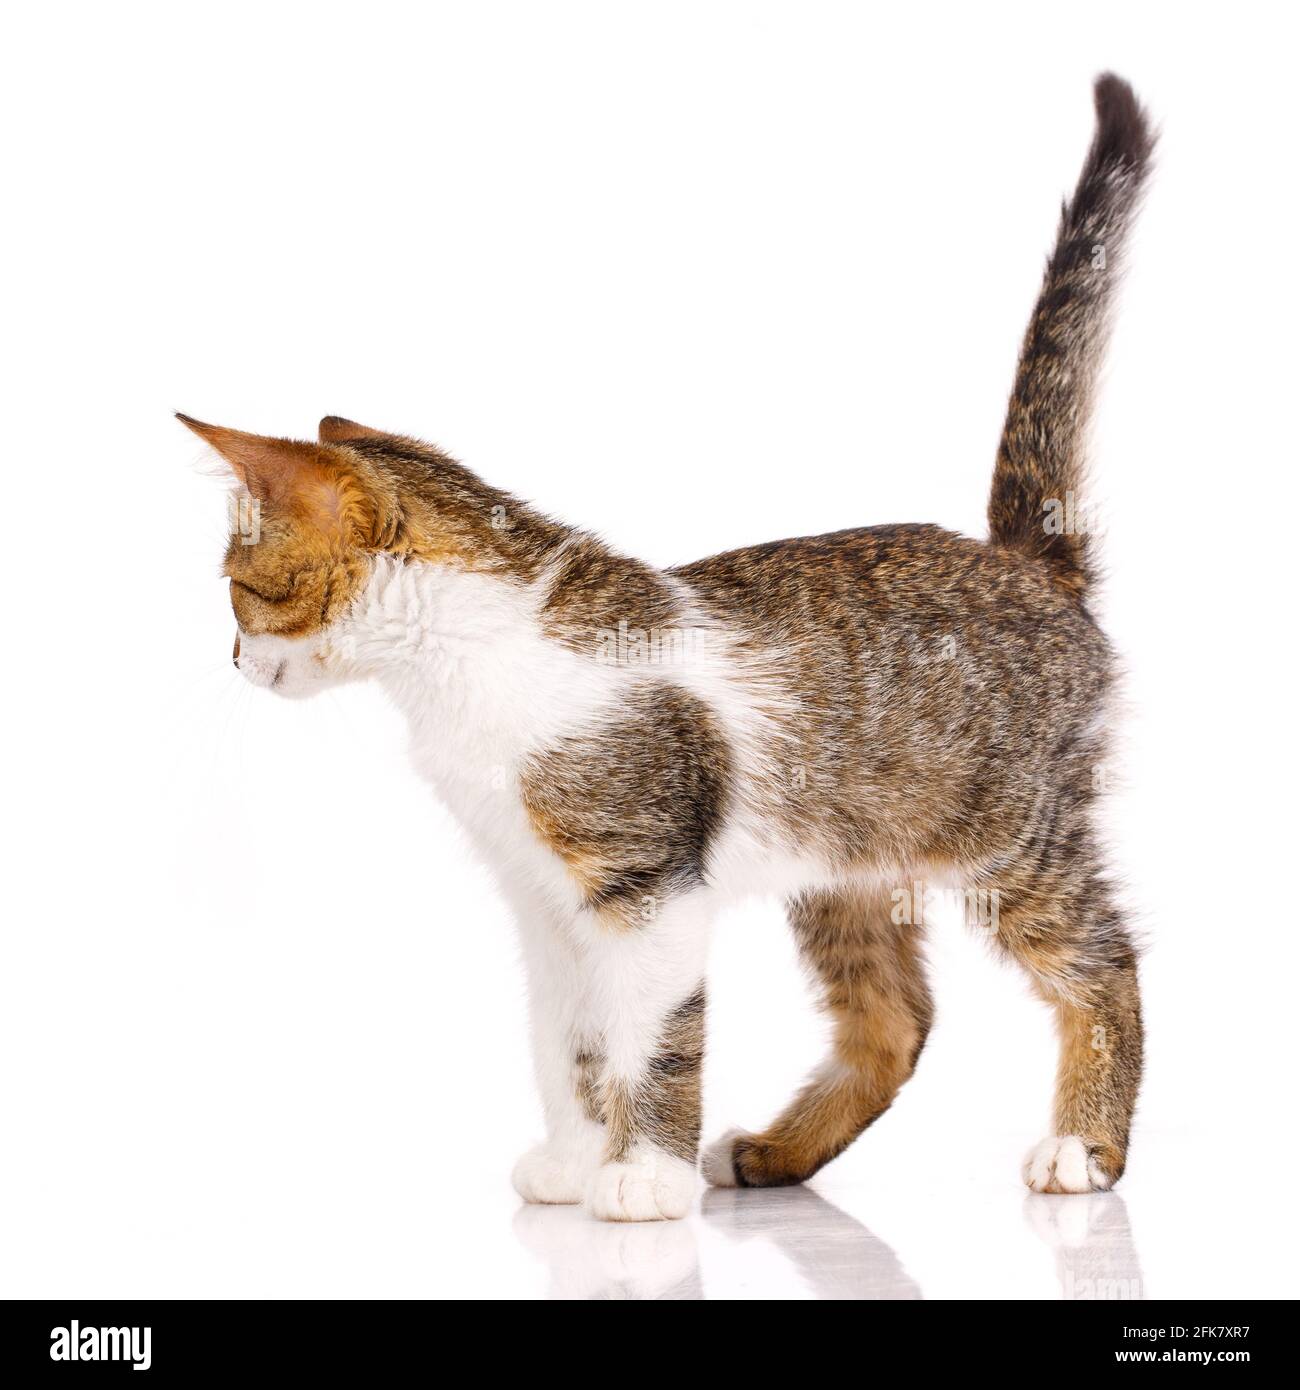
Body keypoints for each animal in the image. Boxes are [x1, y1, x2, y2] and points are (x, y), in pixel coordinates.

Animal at [180, 76, 1151, 1223]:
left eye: (238, 590)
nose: (233, 663)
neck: (476, 654)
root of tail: (1024, 561)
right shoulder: (542, 899)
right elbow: (569, 1041)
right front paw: (572, 1160)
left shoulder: (647, 886)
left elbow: (652, 1036)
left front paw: (642, 1175)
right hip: (845, 865)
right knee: (895, 1018)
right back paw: (776, 1152)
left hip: (1012, 836)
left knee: (1102, 963)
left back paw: (1083, 1145)